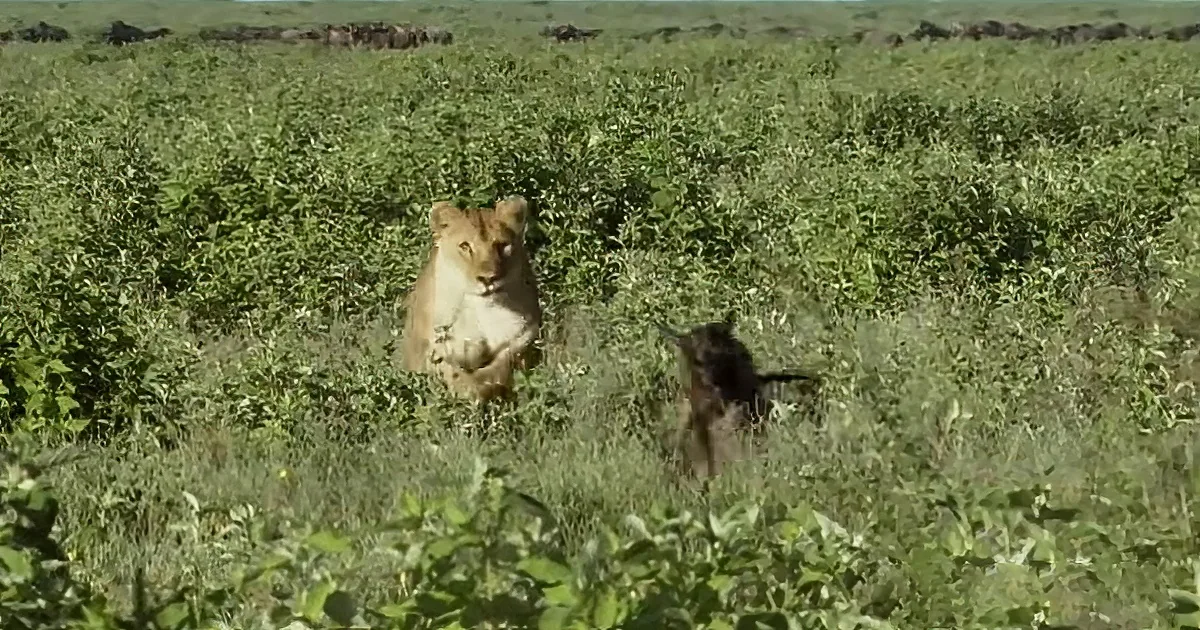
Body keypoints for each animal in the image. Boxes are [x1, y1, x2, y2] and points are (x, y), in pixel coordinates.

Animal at [401, 196, 543, 402]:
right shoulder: (439, 348)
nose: (488, 278)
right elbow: (454, 372)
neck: (482, 309)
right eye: (465, 246)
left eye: (502, 246)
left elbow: (502, 366)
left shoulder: (523, 337)